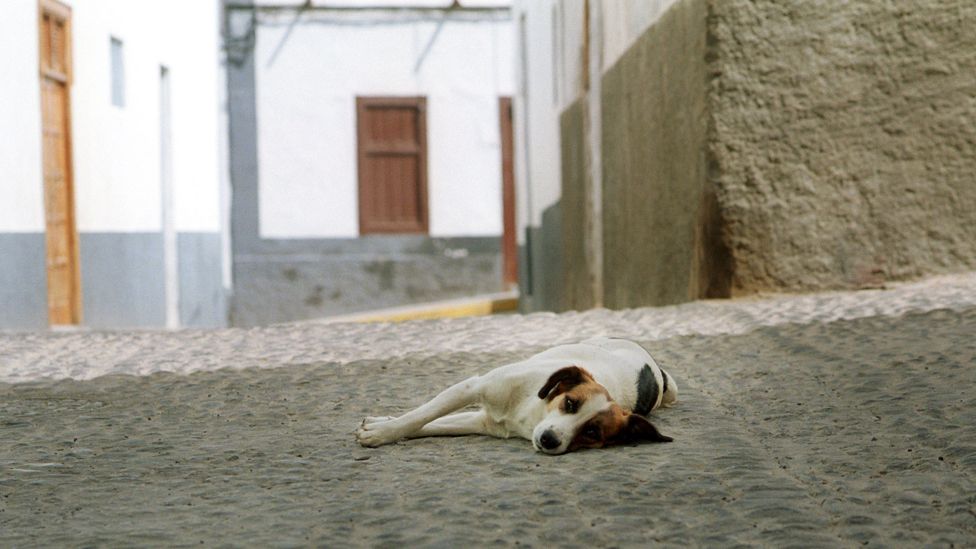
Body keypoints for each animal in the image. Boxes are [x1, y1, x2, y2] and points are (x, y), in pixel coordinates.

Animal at [358, 334, 680, 454]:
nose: (549, 440)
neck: (531, 414)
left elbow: (430, 424)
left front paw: (379, 429)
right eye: (570, 403)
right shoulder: (473, 387)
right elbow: (420, 417)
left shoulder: (484, 423)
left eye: (592, 433)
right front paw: (384, 431)